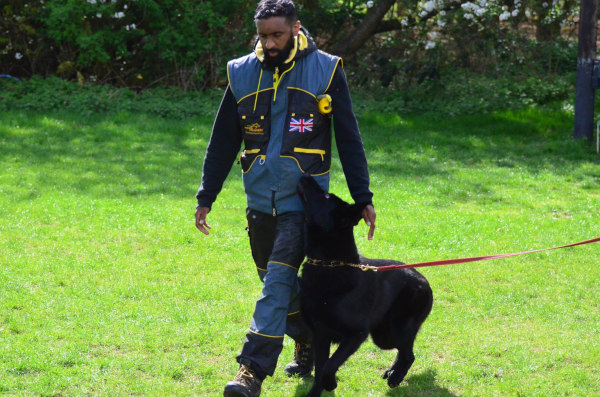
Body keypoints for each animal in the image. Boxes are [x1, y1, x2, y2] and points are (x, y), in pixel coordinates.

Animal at [298, 176, 434, 396]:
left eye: (326, 196)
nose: (306, 176)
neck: (330, 263)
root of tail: (424, 279)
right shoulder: (320, 335)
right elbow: (320, 368)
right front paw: (316, 392)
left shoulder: (356, 334)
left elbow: (329, 365)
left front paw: (331, 383)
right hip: (383, 334)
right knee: (404, 351)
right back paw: (392, 371)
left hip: (395, 330)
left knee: (409, 354)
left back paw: (396, 377)